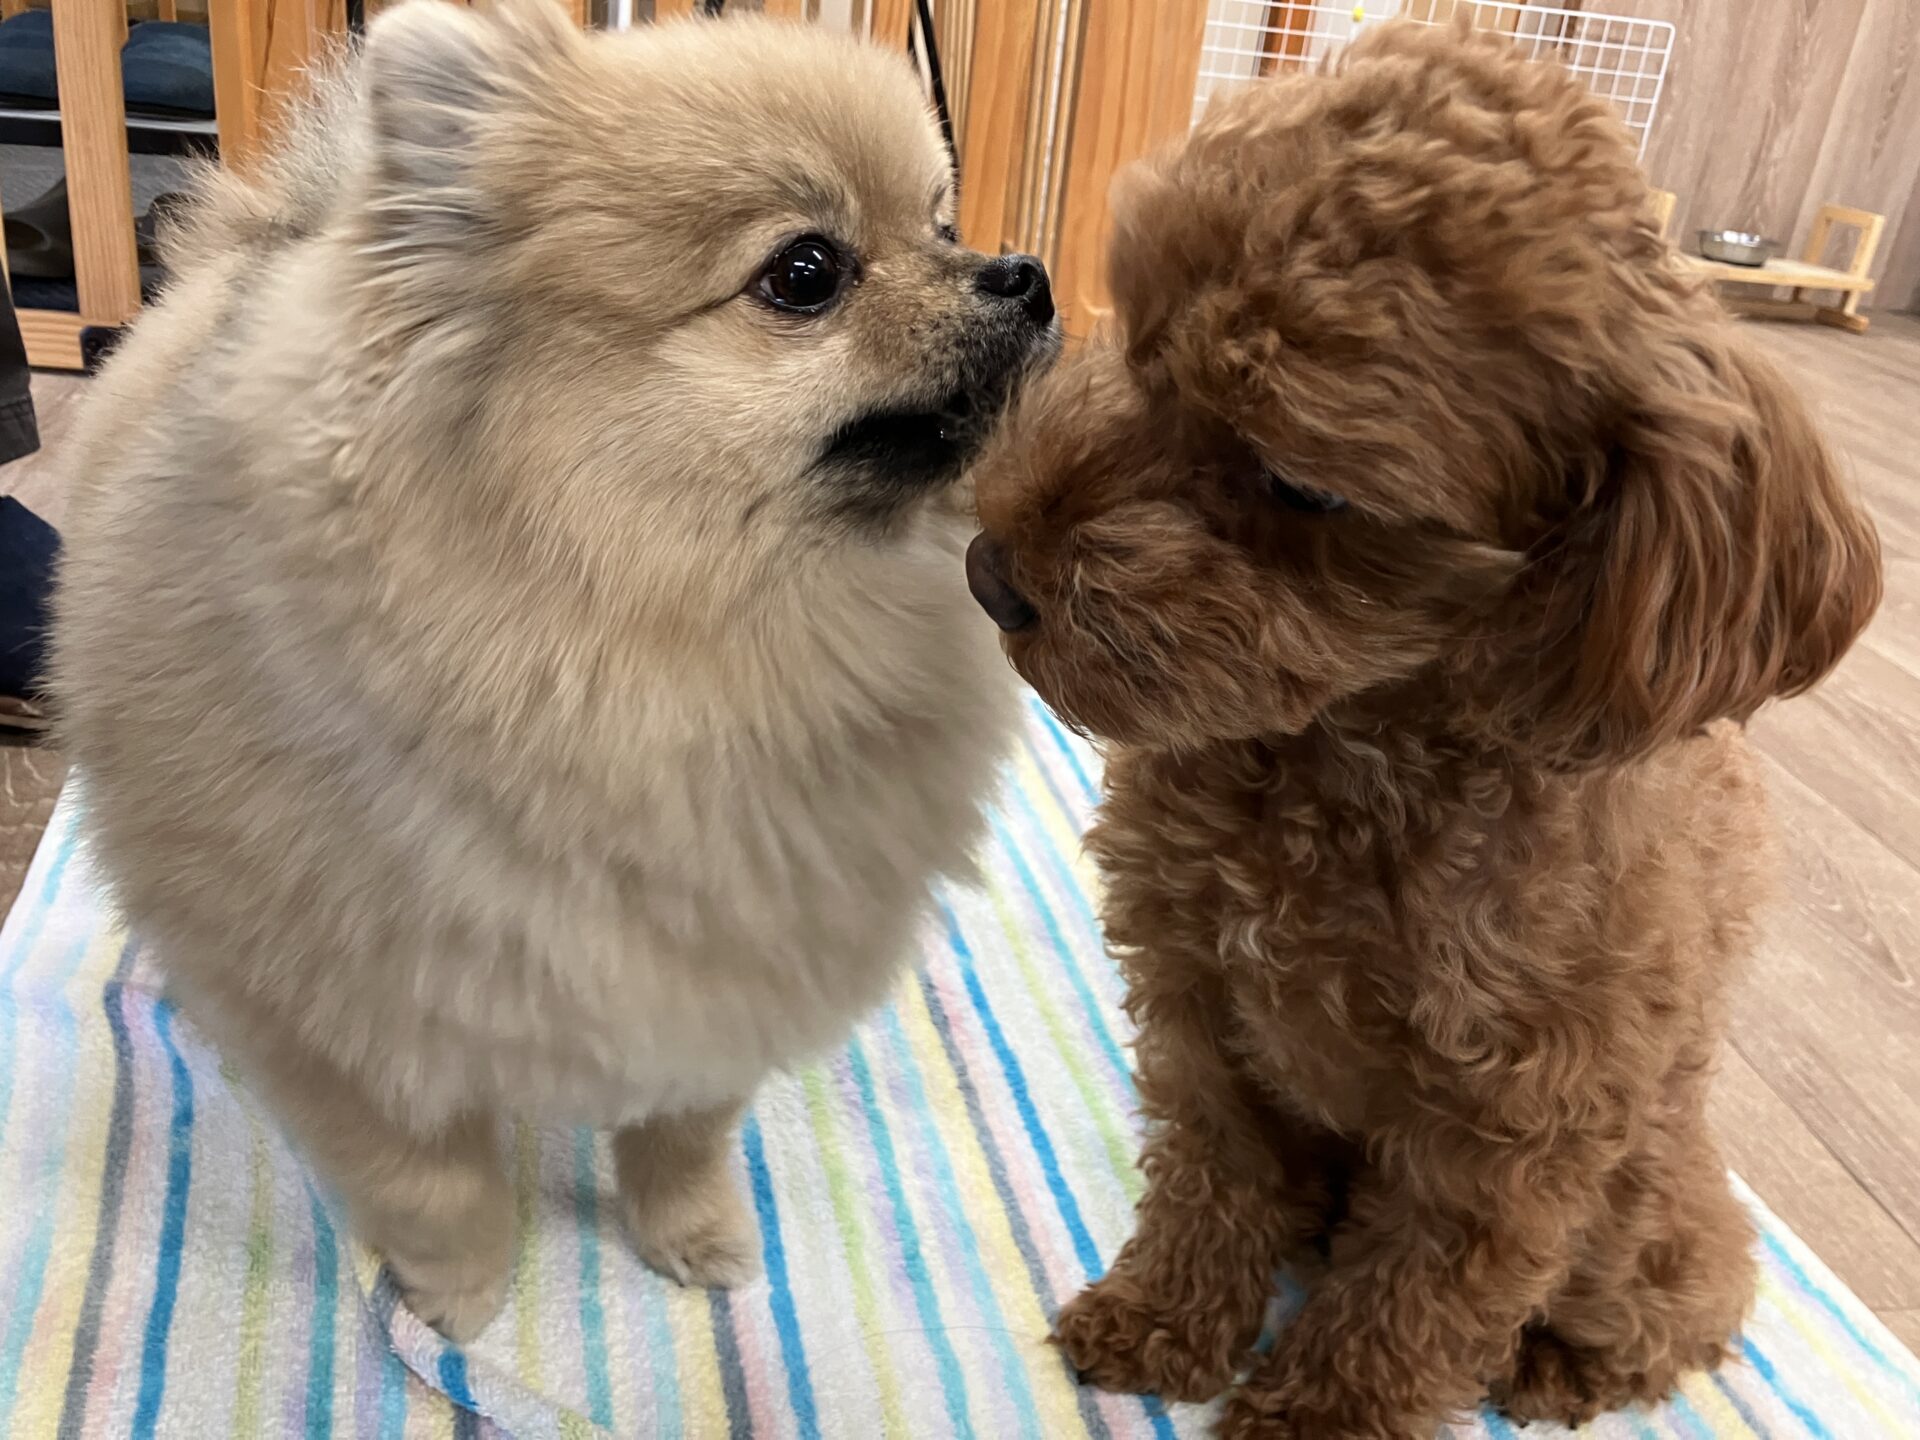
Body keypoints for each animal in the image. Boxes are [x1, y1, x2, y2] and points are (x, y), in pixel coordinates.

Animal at [54, 0, 1055, 1341]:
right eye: (806, 274)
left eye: (943, 223)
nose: (1026, 271)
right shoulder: (337, 1018)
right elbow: (429, 1179)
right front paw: (460, 1299)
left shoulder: (735, 959)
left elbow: (685, 1130)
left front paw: (690, 1236)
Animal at [966, 22, 1880, 1439]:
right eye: (1139, 339)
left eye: (1303, 485)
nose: (992, 575)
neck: (1347, 753)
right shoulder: (1198, 1003)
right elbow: (1210, 1181)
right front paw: (1165, 1321)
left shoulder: (1516, 1122)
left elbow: (1413, 1304)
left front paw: (1314, 1420)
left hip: (1641, 1200)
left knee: (1691, 1299)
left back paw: (1562, 1365)